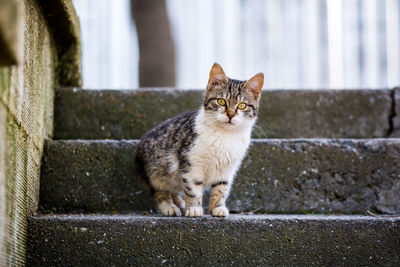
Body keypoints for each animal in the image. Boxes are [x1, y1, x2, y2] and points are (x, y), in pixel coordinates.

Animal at [136, 63, 264, 218]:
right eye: (221, 101)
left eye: (242, 105)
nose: (230, 115)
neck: (225, 135)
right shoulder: (191, 162)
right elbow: (193, 188)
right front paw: (194, 208)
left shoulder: (228, 169)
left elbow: (221, 188)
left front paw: (218, 208)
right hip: (157, 167)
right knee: (160, 190)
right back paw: (169, 207)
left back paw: (180, 203)